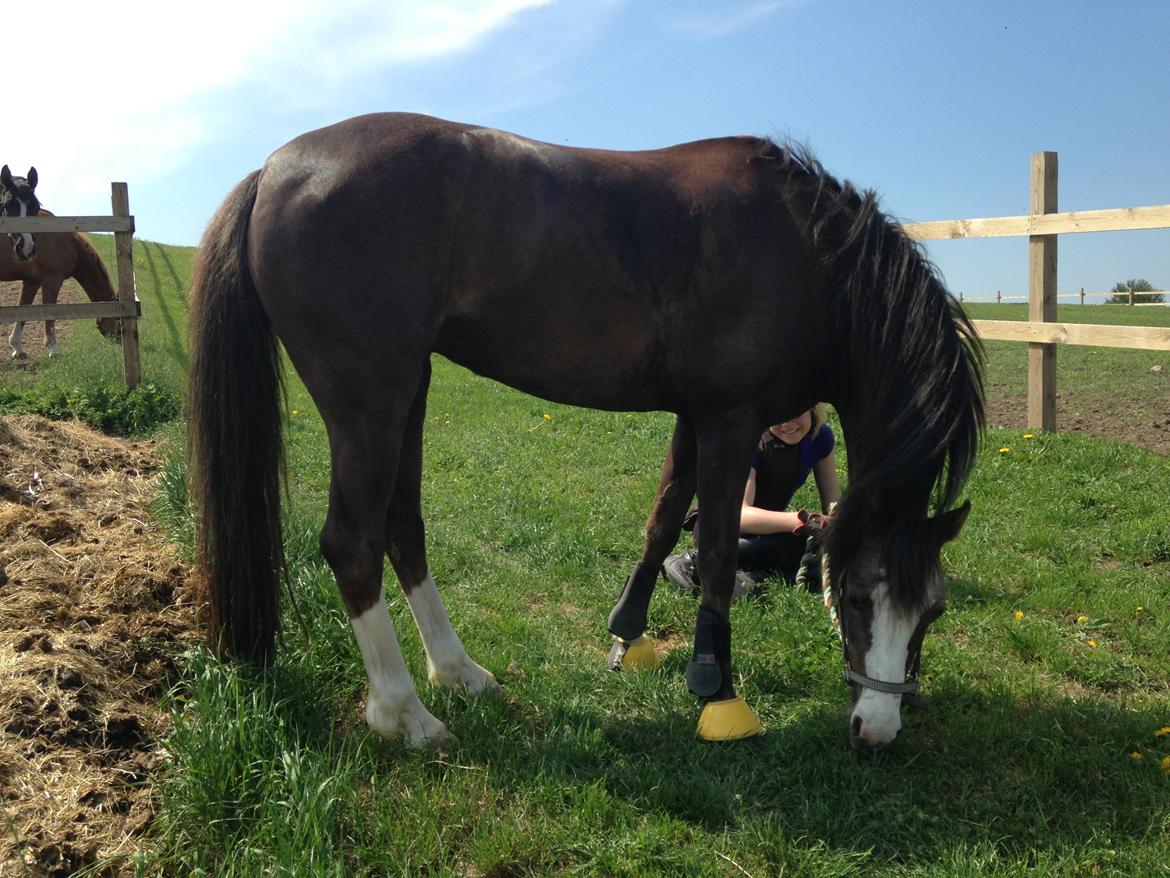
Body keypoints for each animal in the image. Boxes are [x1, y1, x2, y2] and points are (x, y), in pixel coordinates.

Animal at [0, 167, 121, 358]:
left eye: (35, 207)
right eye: (118, 320)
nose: (118, 339)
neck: (67, 241)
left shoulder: (32, 281)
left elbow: (23, 310)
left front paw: (17, 348)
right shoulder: (52, 279)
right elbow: (50, 312)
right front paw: (53, 348)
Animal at [187, 112, 984, 751]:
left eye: (933, 611)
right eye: (855, 596)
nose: (877, 730)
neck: (808, 257)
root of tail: (274, 170)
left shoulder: (695, 415)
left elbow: (664, 521)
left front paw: (629, 632)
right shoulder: (731, 419)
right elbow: (715, 551)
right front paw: (717, 687)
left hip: (408, 395)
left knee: (402, 530)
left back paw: (459, 672)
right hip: (368, 405)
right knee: (351, 545)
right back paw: (405, 715)